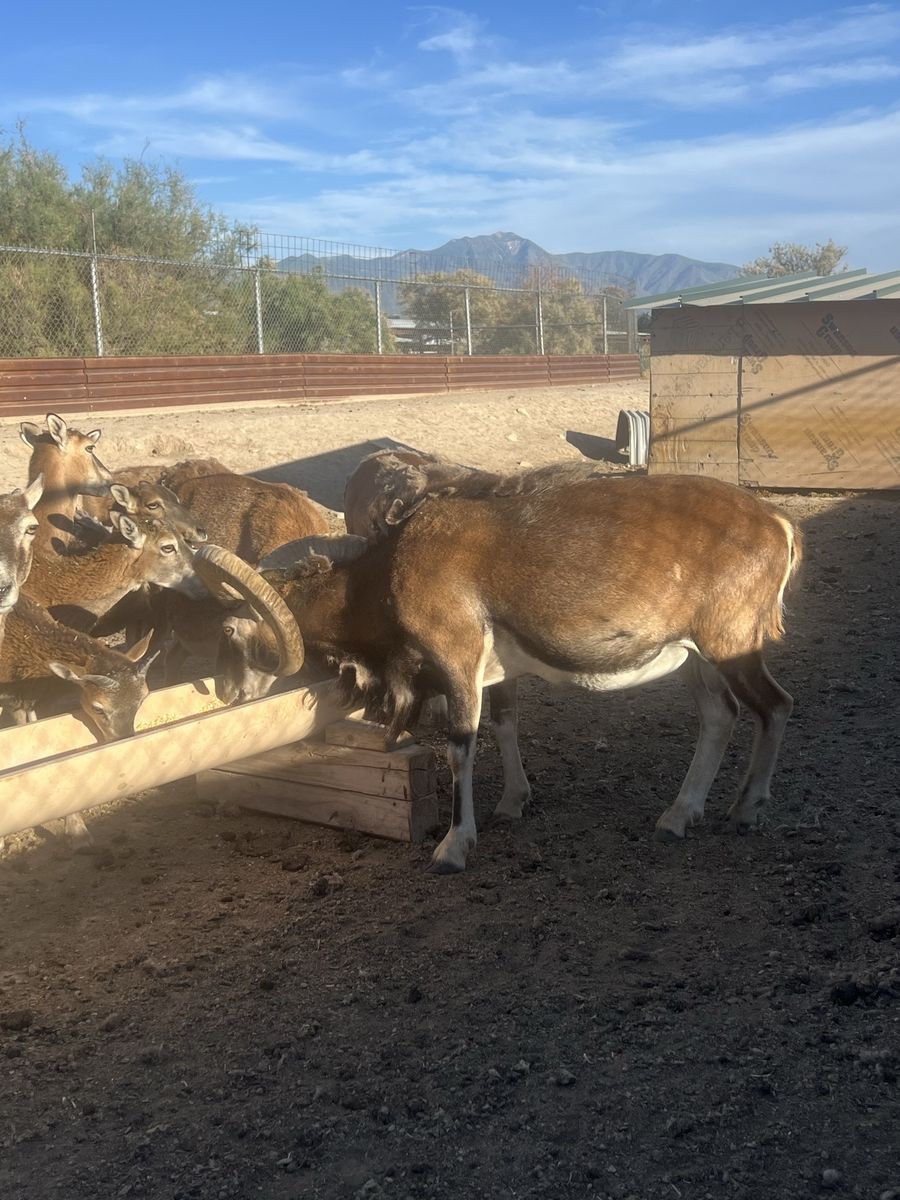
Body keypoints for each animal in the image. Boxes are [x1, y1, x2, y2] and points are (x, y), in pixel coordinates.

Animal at [195, 469, 802, 873]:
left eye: (227, 632)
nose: (226, 690)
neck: (392, 570)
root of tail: (778, 524)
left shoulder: (455, 658)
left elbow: (460, 745)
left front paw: (453, 847)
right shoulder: (496, 671)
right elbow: (505, 723)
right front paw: (513, 804)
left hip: (728, 644)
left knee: (774, 707)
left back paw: (746, 810)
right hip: (695, 656)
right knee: (720, 716)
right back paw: (678, 816)